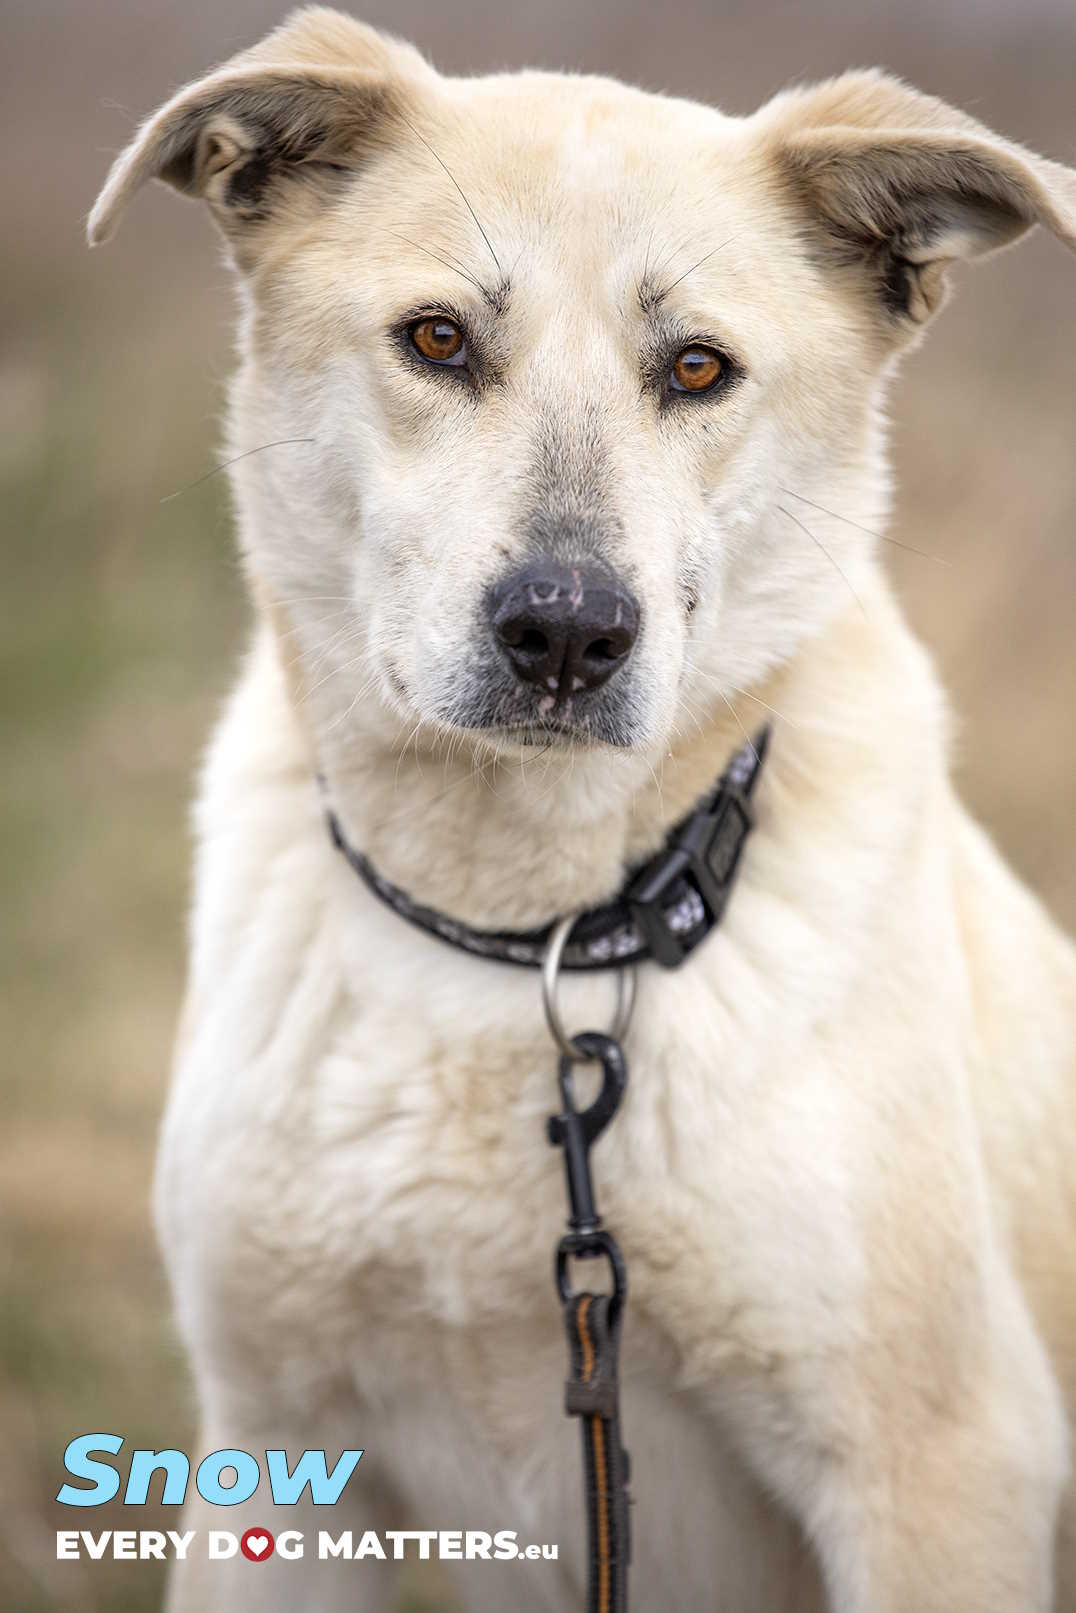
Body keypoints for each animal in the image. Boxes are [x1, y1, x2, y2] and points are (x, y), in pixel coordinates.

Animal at [90, 8, 1076, 1609]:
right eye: (438, 338)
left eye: (697, 368)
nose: (565, 634)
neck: (529, 931)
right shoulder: (276, 1455)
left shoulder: (941, 1473)